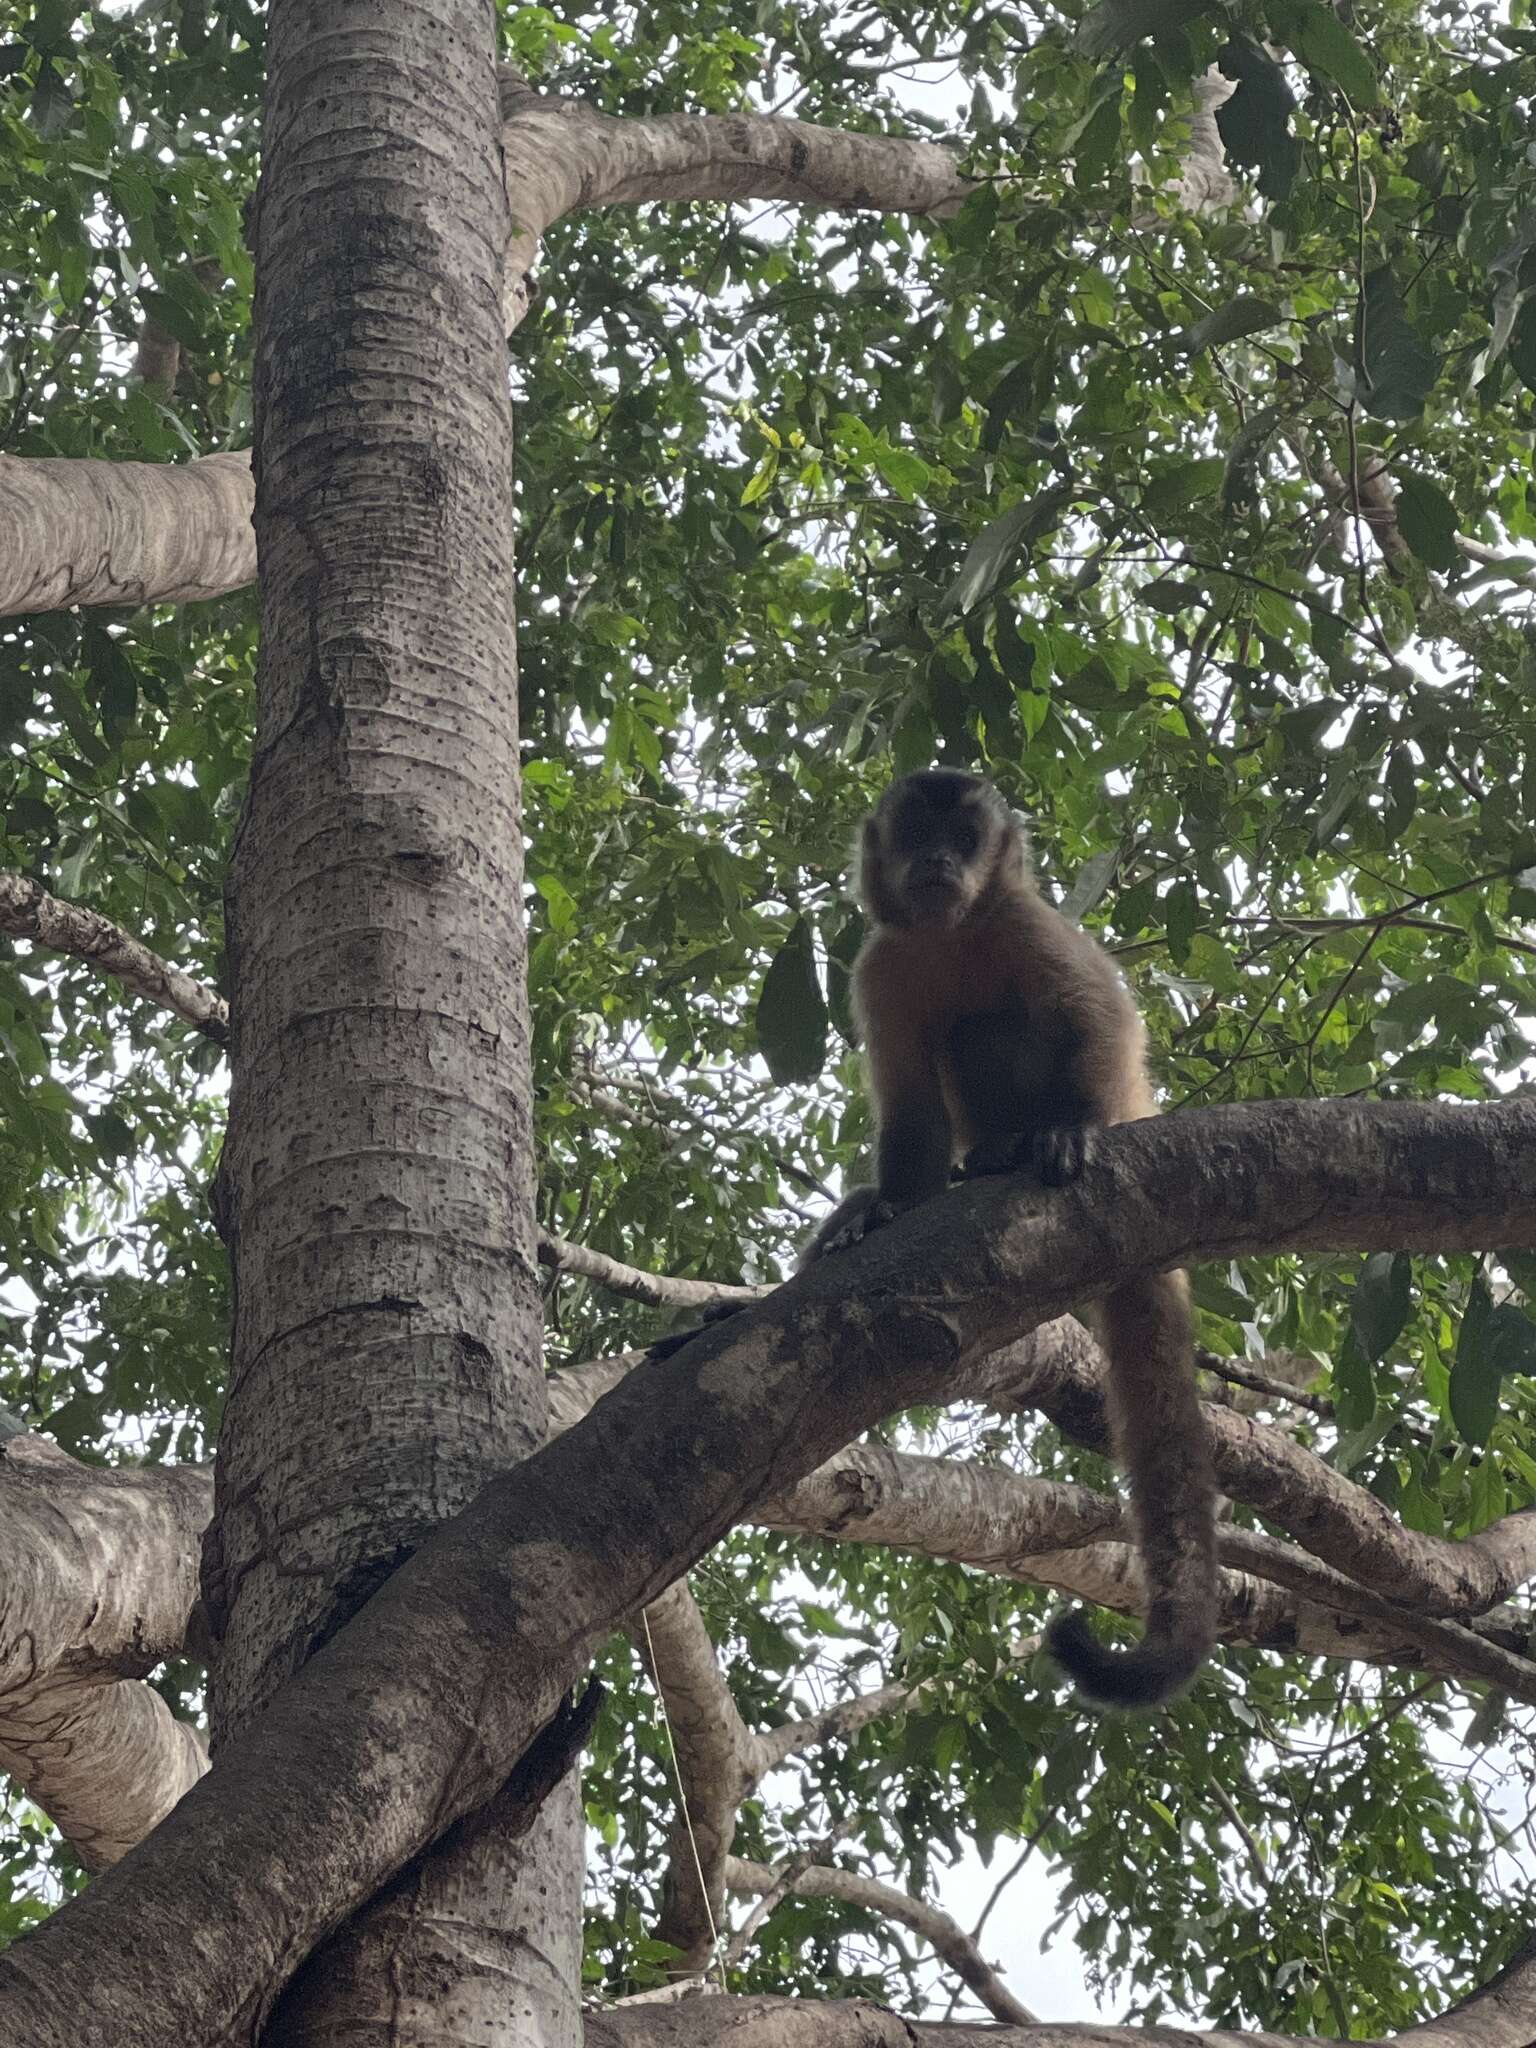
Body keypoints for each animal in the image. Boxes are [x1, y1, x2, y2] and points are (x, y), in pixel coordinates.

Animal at [647, 774, 1212, 1703]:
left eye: (966, 836)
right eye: (919, 834)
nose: (941, 861)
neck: (954, 933)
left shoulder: (1026, 921)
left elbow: (1101, 1015)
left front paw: (1073, 1131)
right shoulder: (881, 962)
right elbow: (909, 1114)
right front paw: (883, 1212)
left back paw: (1023, 1147)